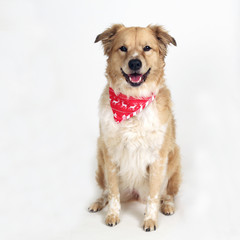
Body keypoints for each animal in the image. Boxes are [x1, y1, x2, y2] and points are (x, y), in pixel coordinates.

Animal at [89, 23, 181, 231]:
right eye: (123, 48)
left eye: (147, 48)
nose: (135, 64)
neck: (132, 101)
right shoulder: (110, 155)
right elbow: (113, 193)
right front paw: (113, 215)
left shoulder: (157, 158)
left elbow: (154, 196)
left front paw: (150, 220)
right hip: (99, 153)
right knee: (105, 191)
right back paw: (98, 203)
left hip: (175, 156)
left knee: (167, 193)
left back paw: (168, 206)